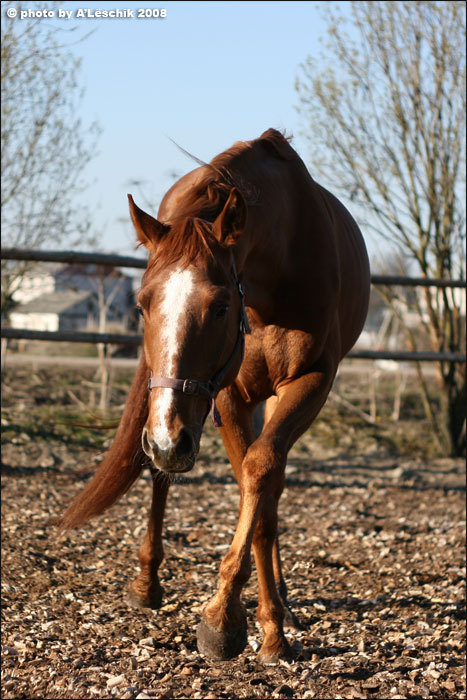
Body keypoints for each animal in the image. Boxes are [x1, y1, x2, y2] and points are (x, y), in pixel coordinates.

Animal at [58, 129, 372, 660]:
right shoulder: (227, 394)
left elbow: (261, 476)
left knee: (267, 480)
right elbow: (252, 487)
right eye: (141, 304)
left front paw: (256, 622)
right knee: (161, 473)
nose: (168, 442)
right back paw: (148, 582)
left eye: (222, 305)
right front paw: (233, 618)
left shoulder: (311, 381)